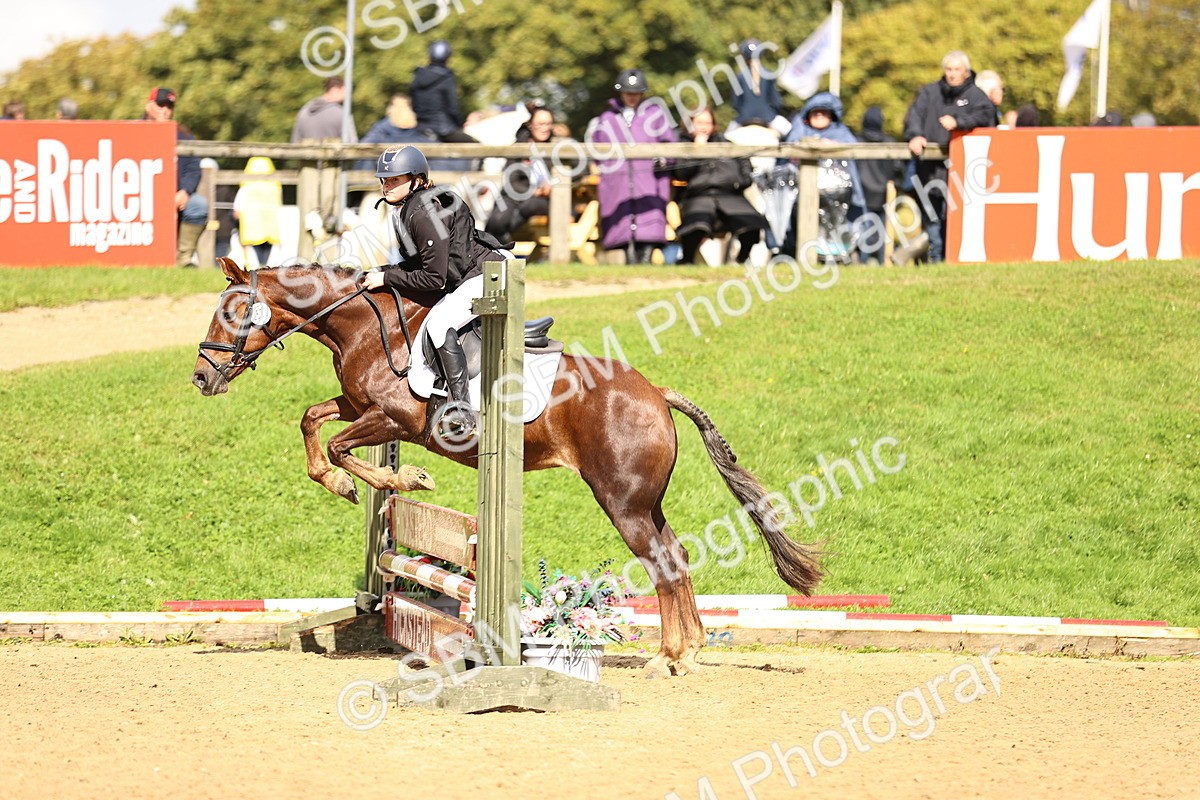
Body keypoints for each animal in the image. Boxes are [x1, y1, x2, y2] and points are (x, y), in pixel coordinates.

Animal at [192, 257, 821, 677]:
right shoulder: (358, 406)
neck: (369, 327)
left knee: (663, 563)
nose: (201, 378)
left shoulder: (393, 418)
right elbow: (311, 423)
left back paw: (670, 658)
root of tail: (656, 394)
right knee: (677, 557)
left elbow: (342, 448)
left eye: (235, 313)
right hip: (645, 501)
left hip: (621, 501)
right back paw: (683, 653)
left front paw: (397, 479)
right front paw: (343, 483)